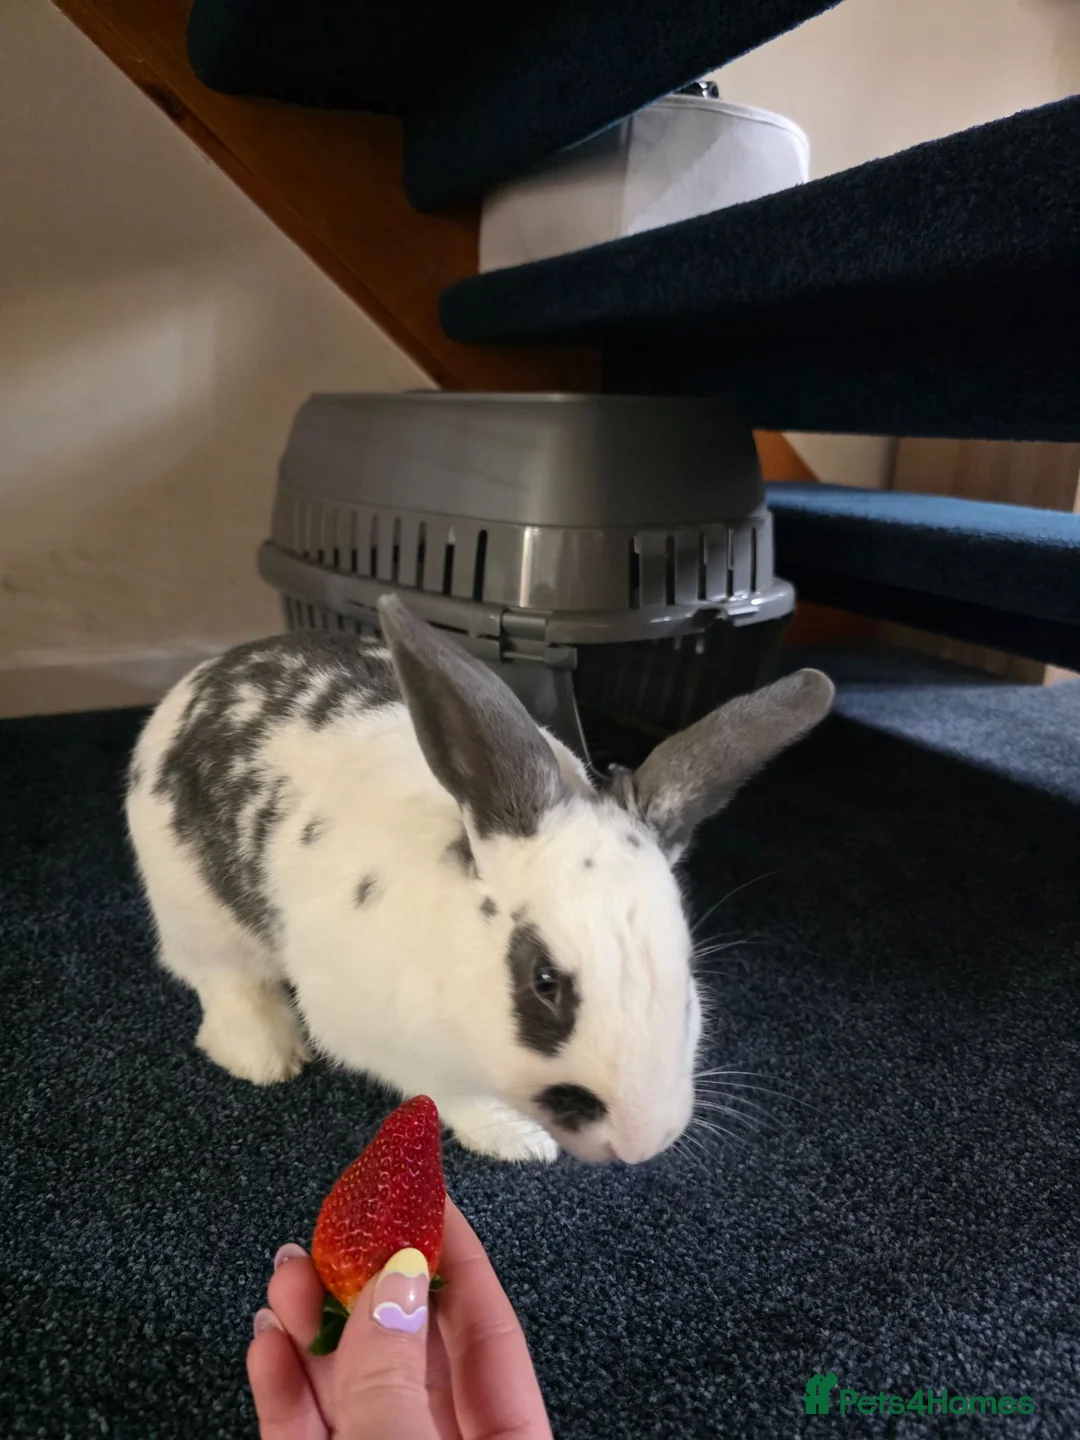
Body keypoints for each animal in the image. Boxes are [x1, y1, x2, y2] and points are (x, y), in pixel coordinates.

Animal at [126, 595, 833, 1164]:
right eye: (543, 982)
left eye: (687, 973)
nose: (642, 1143)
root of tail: (207, 672)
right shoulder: (385, 1042)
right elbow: (451, 1095)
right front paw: (519, 1143)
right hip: (193, 912)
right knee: (222, 979)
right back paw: (266, 1058)